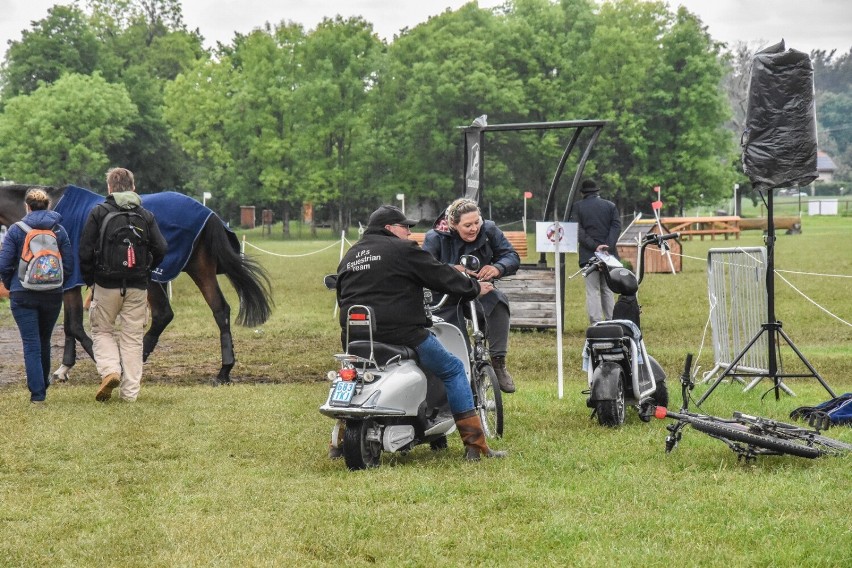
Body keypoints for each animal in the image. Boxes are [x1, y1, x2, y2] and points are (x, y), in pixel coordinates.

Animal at [0, 184, 272, 384]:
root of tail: (210, 215)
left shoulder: (71, 280)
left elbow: (75, 326)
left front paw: (104, 363)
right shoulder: (70, 285)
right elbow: (69, 327)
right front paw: (64, 369)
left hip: (155, 278)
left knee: (164, 313)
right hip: (201, 269)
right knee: (220, 310)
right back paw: (224, 371)